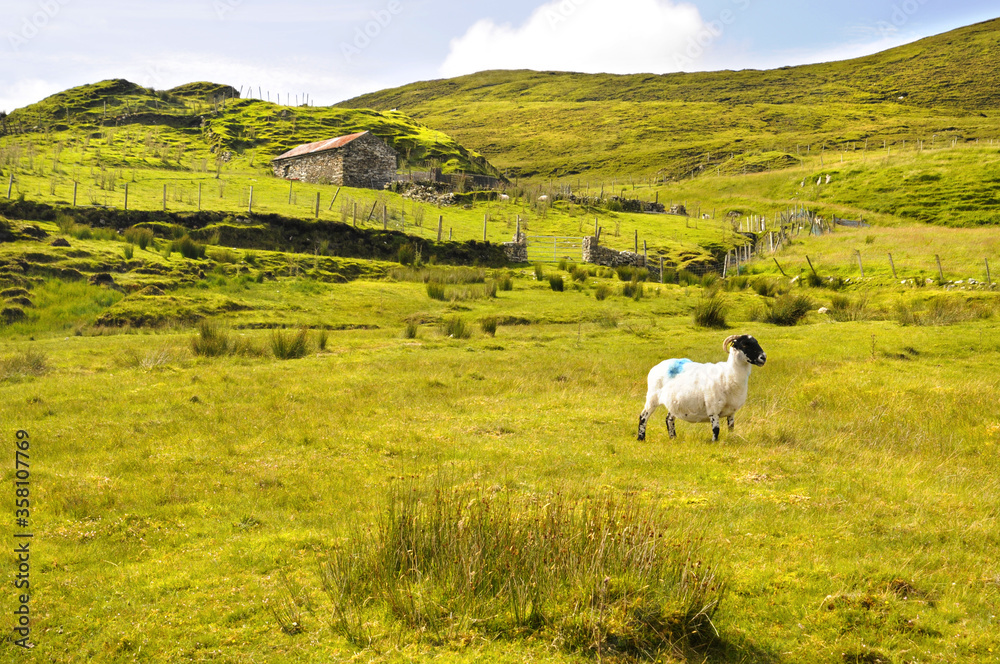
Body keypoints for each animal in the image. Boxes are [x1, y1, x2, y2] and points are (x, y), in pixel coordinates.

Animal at [637, 334, 766, 442]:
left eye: (756, 342)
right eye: (744, 344)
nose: (763, 357)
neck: (728, 374)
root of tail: (657, 366)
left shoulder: (731, 412)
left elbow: (731, 428)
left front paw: (731, 438)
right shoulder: (713, 408)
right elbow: (716, 429)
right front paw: (714, 443)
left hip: (674, 402)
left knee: (669, 419)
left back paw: (673, 438)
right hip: (652, 397)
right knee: (643, 416)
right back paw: (641, 438)